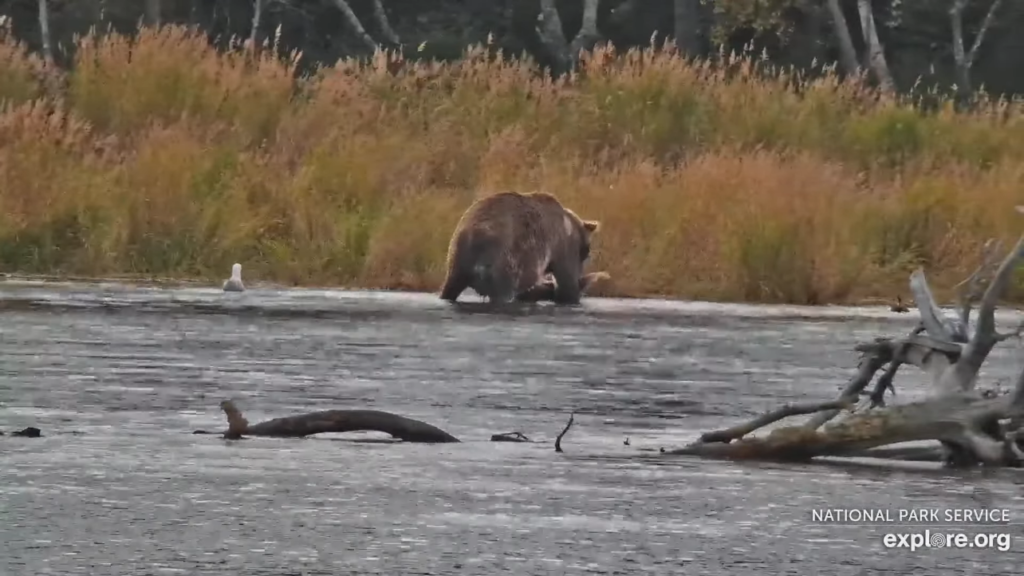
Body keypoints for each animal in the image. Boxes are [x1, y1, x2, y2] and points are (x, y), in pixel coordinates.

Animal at [440, 189, 598, 305]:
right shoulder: (562, 246)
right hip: (504, 261)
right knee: (502, 292)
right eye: (586, 251)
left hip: (457, 259)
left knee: (449, 289)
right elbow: (567, 283)